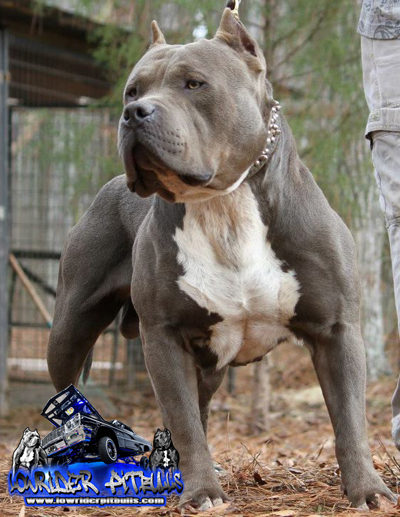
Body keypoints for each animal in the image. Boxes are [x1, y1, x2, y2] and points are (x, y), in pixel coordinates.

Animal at [47, 5, 396, 511]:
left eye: (194, 84)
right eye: (133, 90)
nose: (132, 112)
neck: (223, 204)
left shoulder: (337, 331)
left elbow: (350, 420)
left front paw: (368, 490)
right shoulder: (164, 336)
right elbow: (185, 424)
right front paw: (202, 493)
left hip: (208, 364)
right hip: (69, 330)